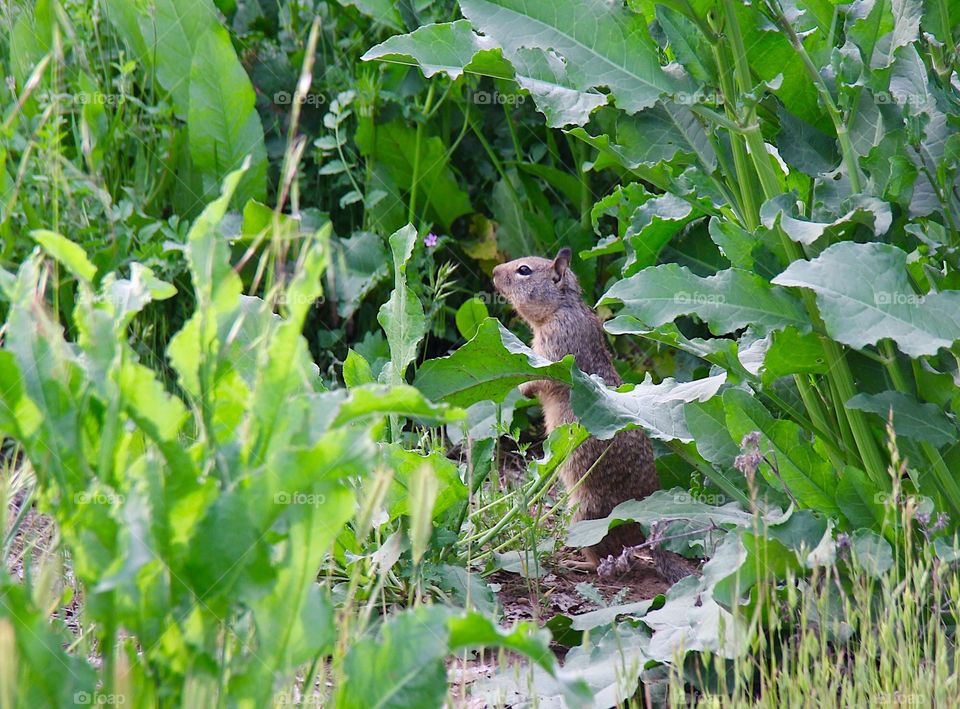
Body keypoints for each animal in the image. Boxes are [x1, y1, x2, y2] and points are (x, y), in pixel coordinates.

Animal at [492, 247, 696, 585]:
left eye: (524, 270)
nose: (495, 273)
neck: (562, 307)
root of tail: (641, 531)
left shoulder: (553, 353)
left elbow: (539, 380)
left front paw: (520, 387)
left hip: (585, 515)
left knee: (608, 559)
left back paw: (577, 564)